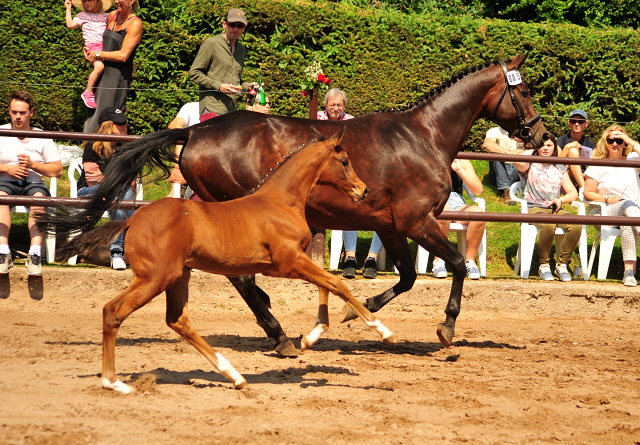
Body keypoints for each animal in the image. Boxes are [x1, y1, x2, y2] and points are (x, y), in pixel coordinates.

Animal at [62, 128, 398, 392]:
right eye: (345, 162)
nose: (363, 190)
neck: (281, 201)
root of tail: (132, 220)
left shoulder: (287, 264)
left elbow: (325, 284)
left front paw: (310, 337)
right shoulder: (288, 262)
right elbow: (336, 283)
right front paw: (382, 331)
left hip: (178, 276)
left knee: (177, 320)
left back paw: (234, 375)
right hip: (155, 278)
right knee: (113, 311)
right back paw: (114, 382)